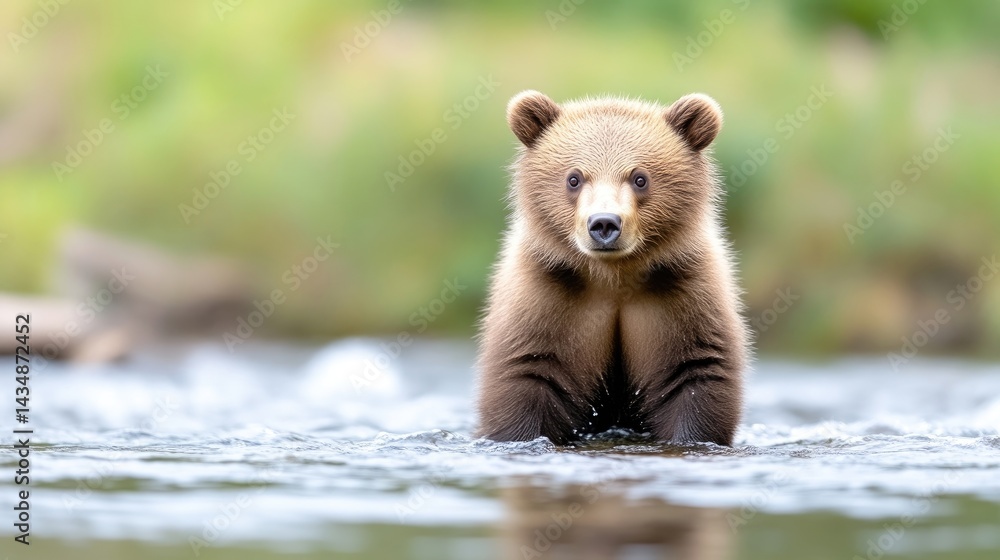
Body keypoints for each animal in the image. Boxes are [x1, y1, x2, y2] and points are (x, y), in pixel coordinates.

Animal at [475, 90, 749, 446]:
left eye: (640, 178)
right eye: (574, 178)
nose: (604, 223)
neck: (613, 276)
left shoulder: (682, 292)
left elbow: (695, 372)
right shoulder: (547, 294)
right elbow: (526, 372)